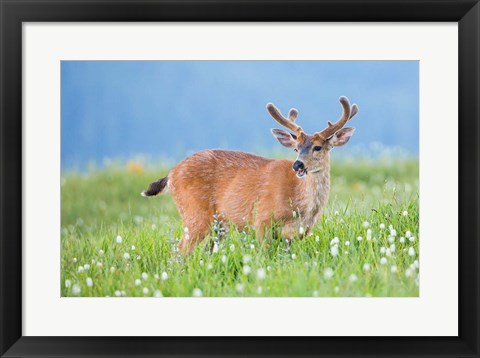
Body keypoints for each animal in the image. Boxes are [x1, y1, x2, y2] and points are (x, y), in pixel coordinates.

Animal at [141, 95, 358, 252]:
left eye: (318, 147)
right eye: (296, 148)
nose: (297, 165)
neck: (301, 206)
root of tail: (171, 174)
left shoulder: (298, 234)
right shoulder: (261, 219)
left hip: (219, 224)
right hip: (194, 212)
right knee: (180, 252)